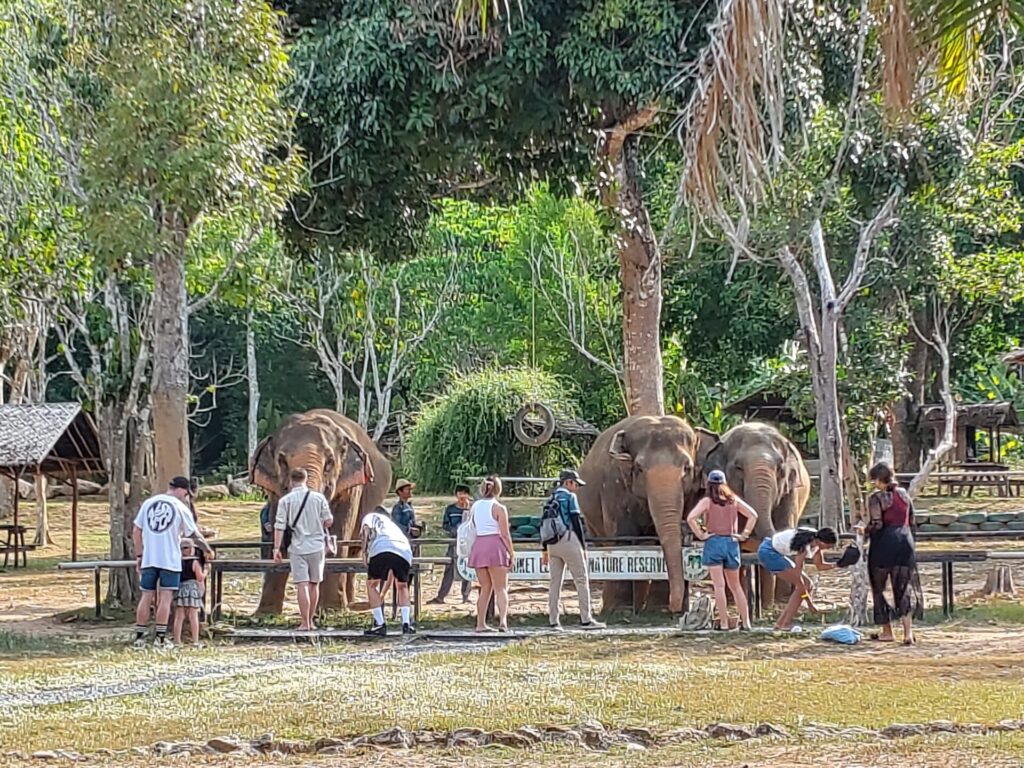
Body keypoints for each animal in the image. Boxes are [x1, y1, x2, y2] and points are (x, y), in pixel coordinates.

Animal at [250, 408, 392, 613]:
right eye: (282, 461)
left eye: (330, 462)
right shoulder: (275, 491)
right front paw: (264, 614)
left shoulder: (350, 487)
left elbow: (338, 532)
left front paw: (332, 610)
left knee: (354, 550)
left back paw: (350, 605)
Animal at [578, 414, 720, 615]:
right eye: (639, 468)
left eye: (687, 468)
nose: (675, 608)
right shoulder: (614, 486)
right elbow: (623, 537)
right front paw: (621, 610)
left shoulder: (692, 493)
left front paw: (659, 610)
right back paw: (613, 609)